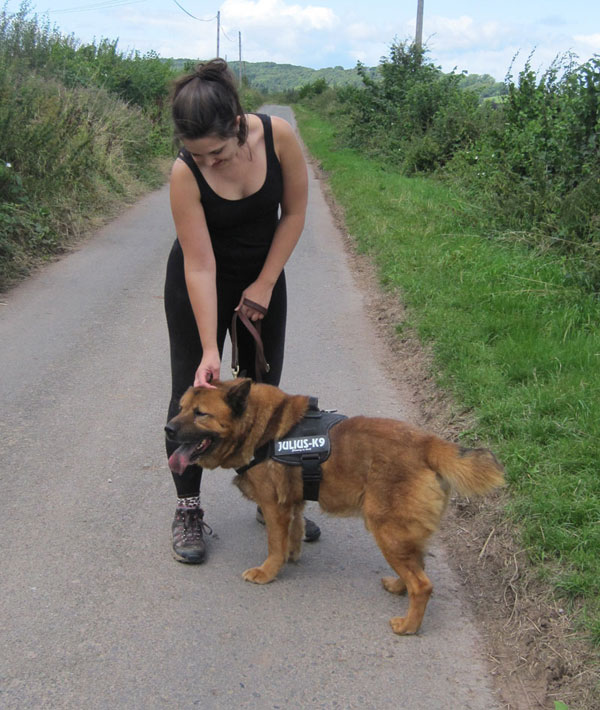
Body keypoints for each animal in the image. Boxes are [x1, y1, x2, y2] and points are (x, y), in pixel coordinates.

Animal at [165, 382, 506, 636]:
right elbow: (294, 533)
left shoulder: (275, 507)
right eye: (181, 408)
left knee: (423, 585)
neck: (263, 428)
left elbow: (274, 545)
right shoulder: (293, 503)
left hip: (387, 531)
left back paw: (409, 625)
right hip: (401, 532)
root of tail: (428, 444)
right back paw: (399, 586)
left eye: (200, 414)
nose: (167, 429)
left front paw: (268, 571)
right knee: (417, 567)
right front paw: (292, 555)